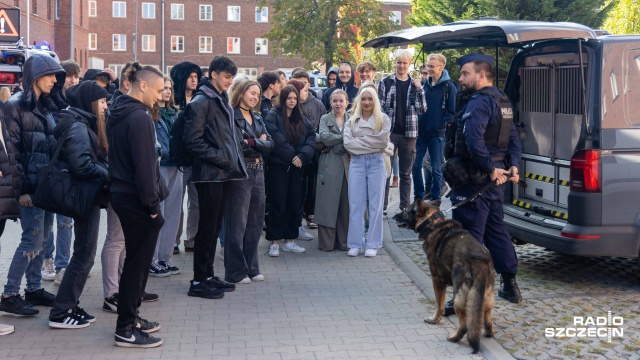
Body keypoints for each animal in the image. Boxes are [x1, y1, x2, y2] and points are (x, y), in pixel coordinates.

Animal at [396, 200, 496, 354]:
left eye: (405, 211)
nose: (394, 216)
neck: (433, 223)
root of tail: (479, 259)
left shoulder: (437, 280)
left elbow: (439, 305)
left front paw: (434, 320)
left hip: (459, 297)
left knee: (464, 325)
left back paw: (454, 337)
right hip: (487, 296)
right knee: (487, 319)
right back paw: (488, 332)